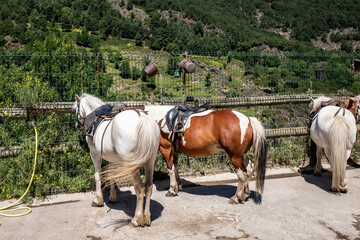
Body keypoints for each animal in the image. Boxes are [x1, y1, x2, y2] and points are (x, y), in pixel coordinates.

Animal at [72, 94, 160, 227]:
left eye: (75, 109)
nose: (77, 125)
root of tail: (144, 118)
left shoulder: (94, 154)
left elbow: (98, 176)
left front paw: (98, 200)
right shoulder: (112, 158)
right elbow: (111, 175)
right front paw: (113, 197)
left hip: (132, 165)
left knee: (140, 188)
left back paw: (136, 219)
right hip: (150, 161)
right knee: (148, 187)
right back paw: (147, 218)